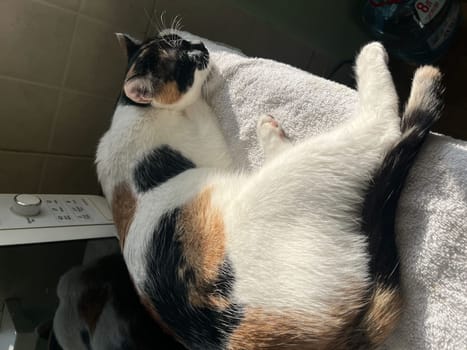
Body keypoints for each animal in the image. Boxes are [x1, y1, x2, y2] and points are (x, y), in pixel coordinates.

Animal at [94, 31, 442, 348]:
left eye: (178, 38)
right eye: (183, 56)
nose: (202, 45)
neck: (134, 110)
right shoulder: (207, 139)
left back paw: (270, 132)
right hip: (301, 174)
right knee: (380, 128)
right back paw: (383, 60)